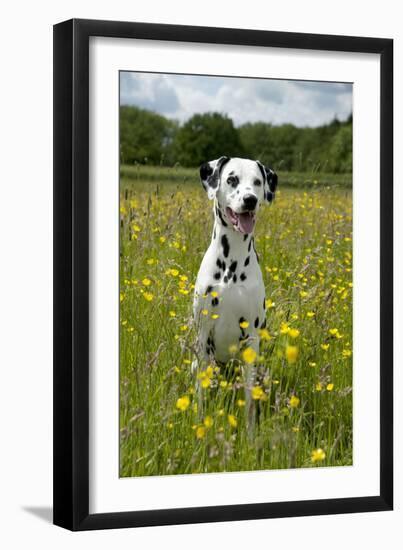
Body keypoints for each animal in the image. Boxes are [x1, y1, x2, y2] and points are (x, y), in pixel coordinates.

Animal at [193, 158, 278, 426]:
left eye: (258, 182)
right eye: (231, 179)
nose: (250, 200)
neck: (231, 265)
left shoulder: (251, 336)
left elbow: (250, 403)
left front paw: (250, 432)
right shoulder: (203, 334)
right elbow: (200, 392)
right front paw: (198, 421)